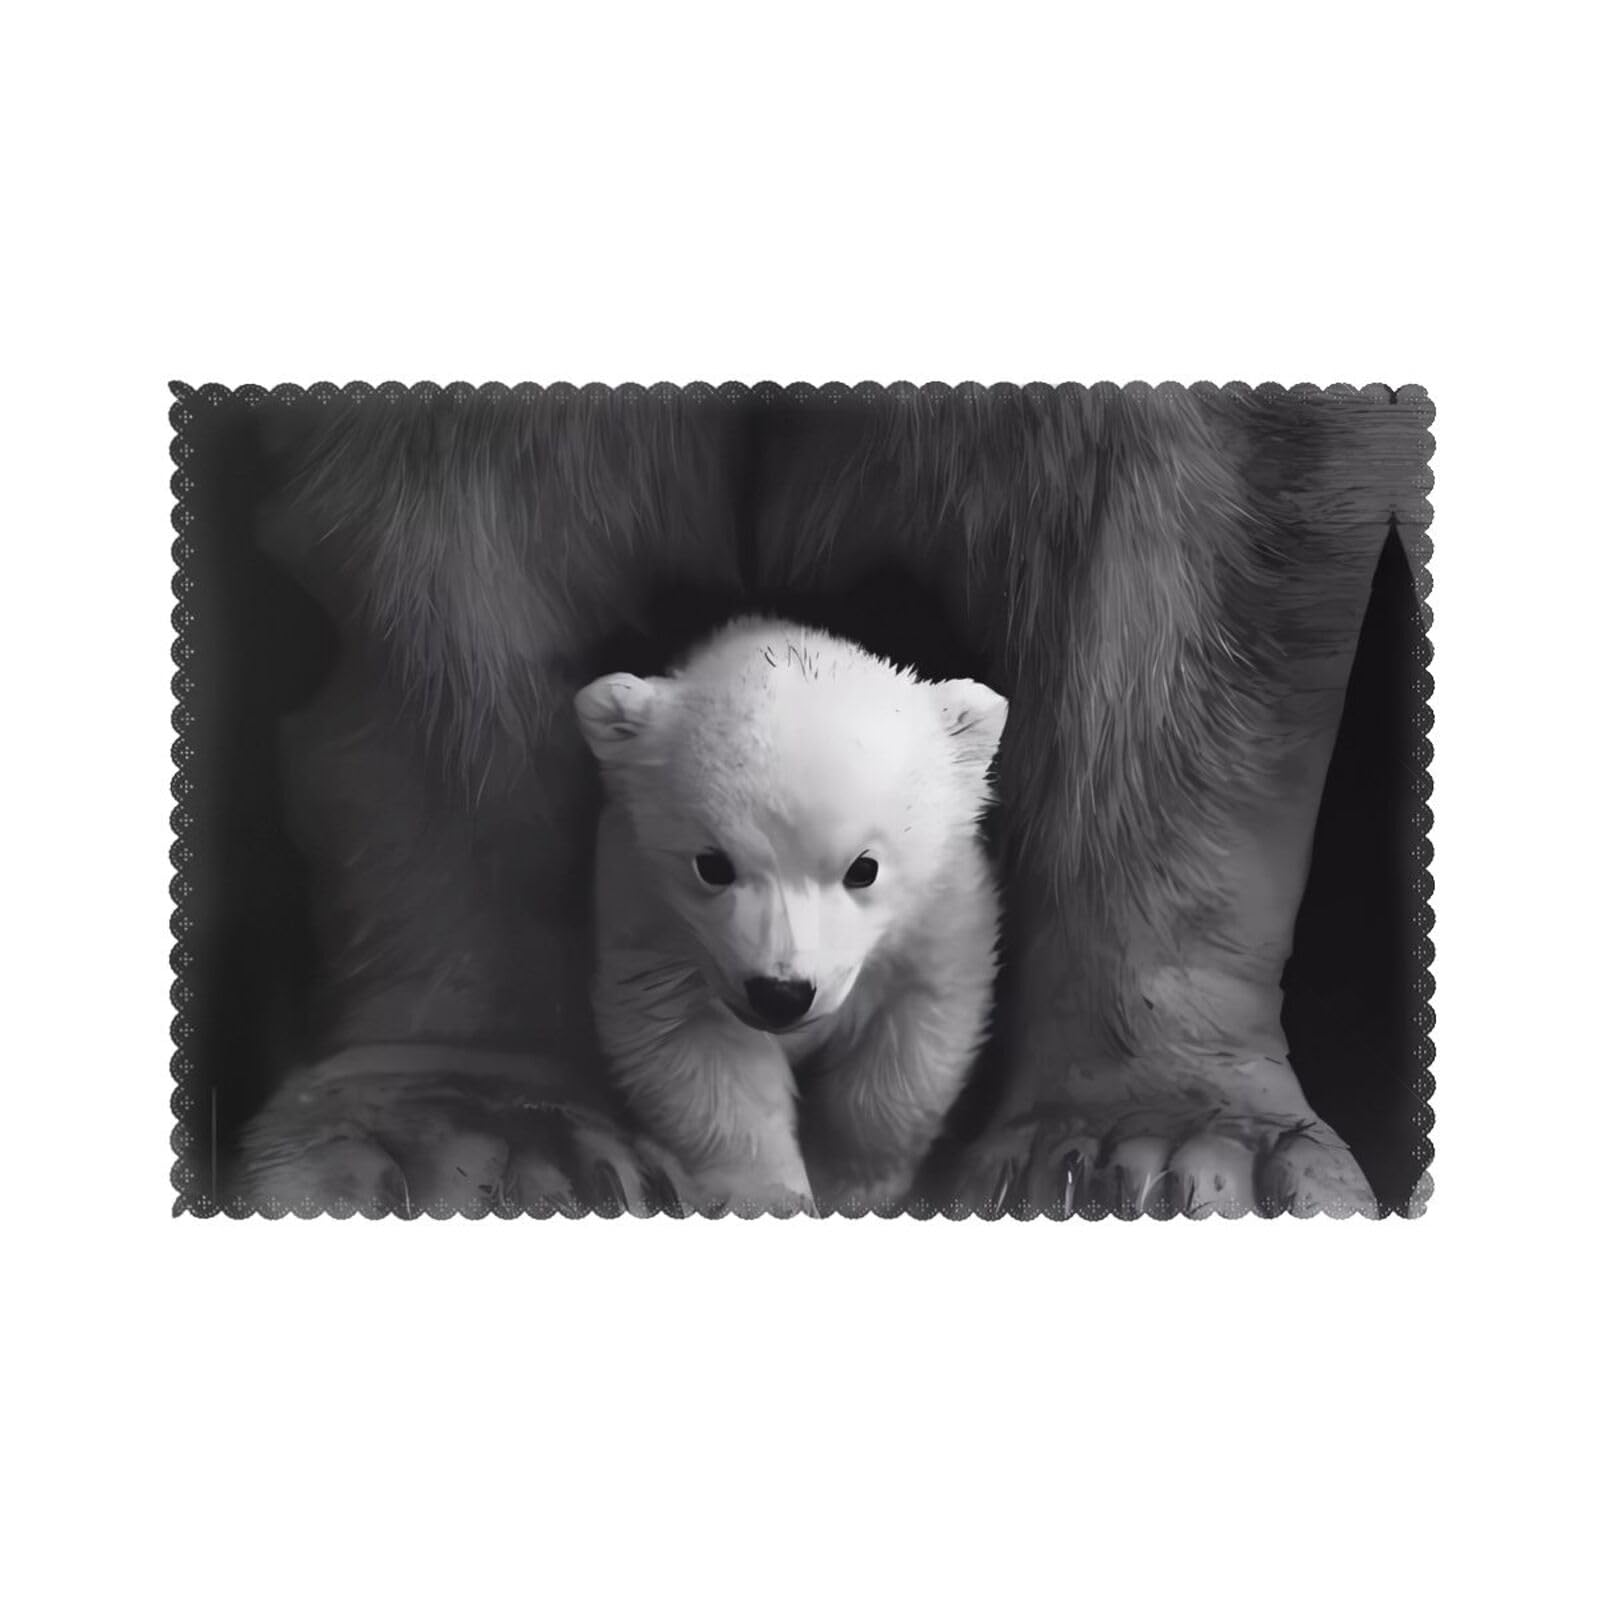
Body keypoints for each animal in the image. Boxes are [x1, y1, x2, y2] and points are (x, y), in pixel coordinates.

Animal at [575, 616, 1009, 1216]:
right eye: (712, 864)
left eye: (864, 868)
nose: (781, 994)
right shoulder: (650, 924)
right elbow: (701, 1064)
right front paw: (771, 1194)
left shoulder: (940, 917)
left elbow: (909, 1049)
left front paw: (851, 1183)